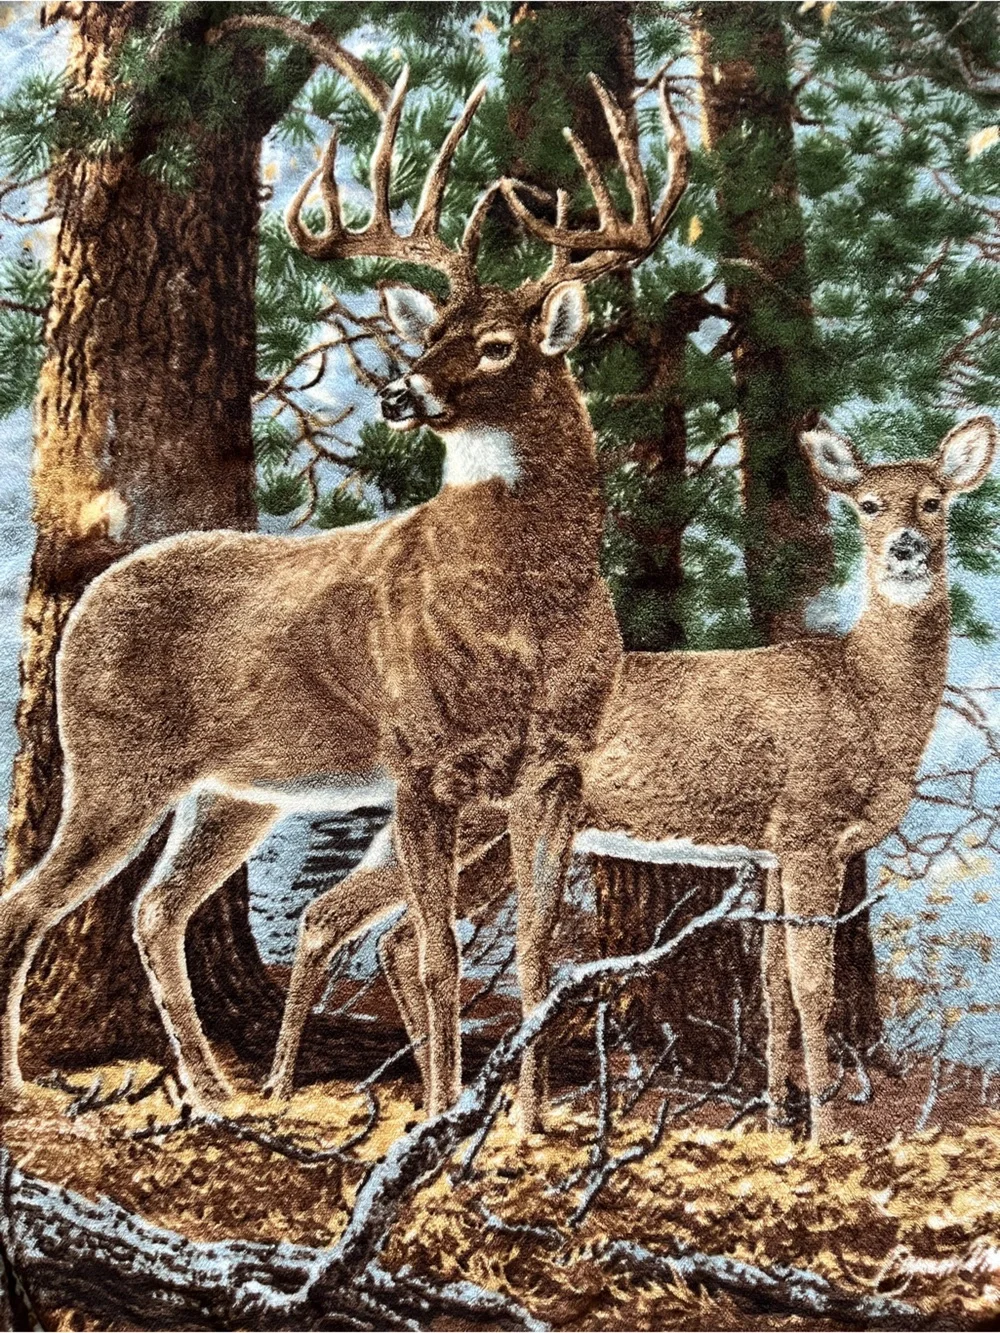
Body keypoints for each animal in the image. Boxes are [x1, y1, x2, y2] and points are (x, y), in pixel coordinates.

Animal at [0, 69, 690, 1133]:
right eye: (431, 334)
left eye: (498, 346)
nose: (403, 393)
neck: (524, 618)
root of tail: (87, 602)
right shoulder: (418, 759)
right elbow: (439, 955)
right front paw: (443, 1117)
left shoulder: (556, 769)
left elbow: (538, 960)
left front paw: (528, 1126)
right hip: (115, 761)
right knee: (30, 904)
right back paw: (30, 1085)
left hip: (235, 791)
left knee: (155, 908)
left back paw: (217, 1093)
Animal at [264, 416, 997, 1145]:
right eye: (868, 504)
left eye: (933, 501)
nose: (905, 548)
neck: (865, 698)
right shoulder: (811, 829)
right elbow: (811, 985)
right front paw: (825, 1132)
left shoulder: (772, 848)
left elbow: (774, 987)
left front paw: (775, 1121)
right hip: (473, 816)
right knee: (335, 917)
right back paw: (290, 1089)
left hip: (490, 836)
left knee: (384, 932)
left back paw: (424, 1097)